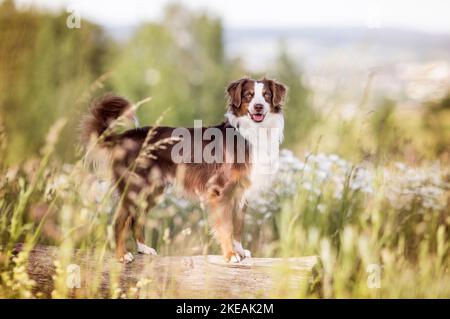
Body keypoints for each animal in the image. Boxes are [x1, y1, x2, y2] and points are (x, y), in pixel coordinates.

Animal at [81, 77, 286, 262]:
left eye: (266, 96)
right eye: (248, 95)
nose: (258, 107)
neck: (251, 132)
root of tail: (122, 137)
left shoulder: (240, 192)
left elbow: (238, 226)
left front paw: (240, 250)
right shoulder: (220, 191)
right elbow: (226, 227)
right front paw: (230, 255)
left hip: (151, 190)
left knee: (137, 218)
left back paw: (143, 248)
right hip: (134, 188)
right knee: (119, 220)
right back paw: (122, 255)